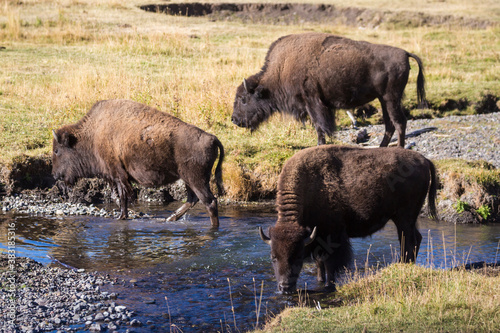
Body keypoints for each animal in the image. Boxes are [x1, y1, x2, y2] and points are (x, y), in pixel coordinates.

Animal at [51, 98, 224, 227]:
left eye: (57, 151)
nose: (54, 174)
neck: (93, 135)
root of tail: (211, 138)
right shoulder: (115, 177)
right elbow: (120, 197)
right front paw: (123, 215)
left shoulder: (118, 175)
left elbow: (123, 197)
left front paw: (121, 217)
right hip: (188, 180)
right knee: (192, 199)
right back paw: (169, 219)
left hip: (196, 180)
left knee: (209, 202)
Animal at [231, 33, 426, 146]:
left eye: (244, 99)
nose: (234, 119)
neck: (282, 68)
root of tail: (404, 53)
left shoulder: (312, 102)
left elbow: (320, 126)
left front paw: (320, 145)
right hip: (383, 100)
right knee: (389, 125)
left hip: (391, 98)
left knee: (399, 123)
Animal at [260, 145, 436, 294]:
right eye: (273, 257)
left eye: (297, 256)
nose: (285, 287)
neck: (309, 185)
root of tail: (424, 160)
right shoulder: (315, 238)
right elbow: (319, 263)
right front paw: (320, 281)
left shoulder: (332, 236)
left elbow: (329, 263)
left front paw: (329, 285)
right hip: (407, 219)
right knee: (416, 238)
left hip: (404, 218)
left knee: (408, 241)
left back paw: (403, 265)